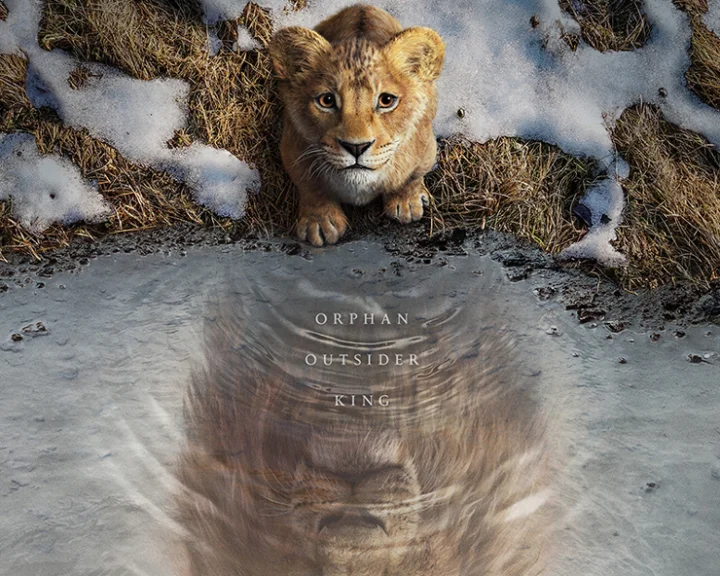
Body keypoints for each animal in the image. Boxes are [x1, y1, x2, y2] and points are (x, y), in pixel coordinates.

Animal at [268, 4, 445, 246]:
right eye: (326, 100)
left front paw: (407, 202)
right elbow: (310, 186)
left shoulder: (426, 148)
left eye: (386, 100)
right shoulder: (292, 147)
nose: (356, 147)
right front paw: (320, 222)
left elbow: (412, 176)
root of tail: (362, 6)